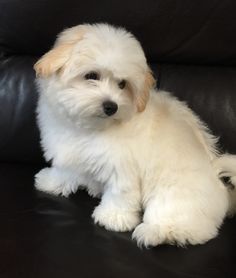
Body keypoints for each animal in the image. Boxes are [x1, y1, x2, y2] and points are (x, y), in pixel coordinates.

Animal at [33, 22, 236, 247]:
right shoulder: (68, 148)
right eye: (91, 76)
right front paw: (51, 182)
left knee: (186, 226)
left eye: (122, 84)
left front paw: (113, 217)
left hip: (175, 194)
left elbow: (120, 192)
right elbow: (65, 170)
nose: (111, 106)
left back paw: (155, 231)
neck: (91, 127)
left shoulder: (121, 165)